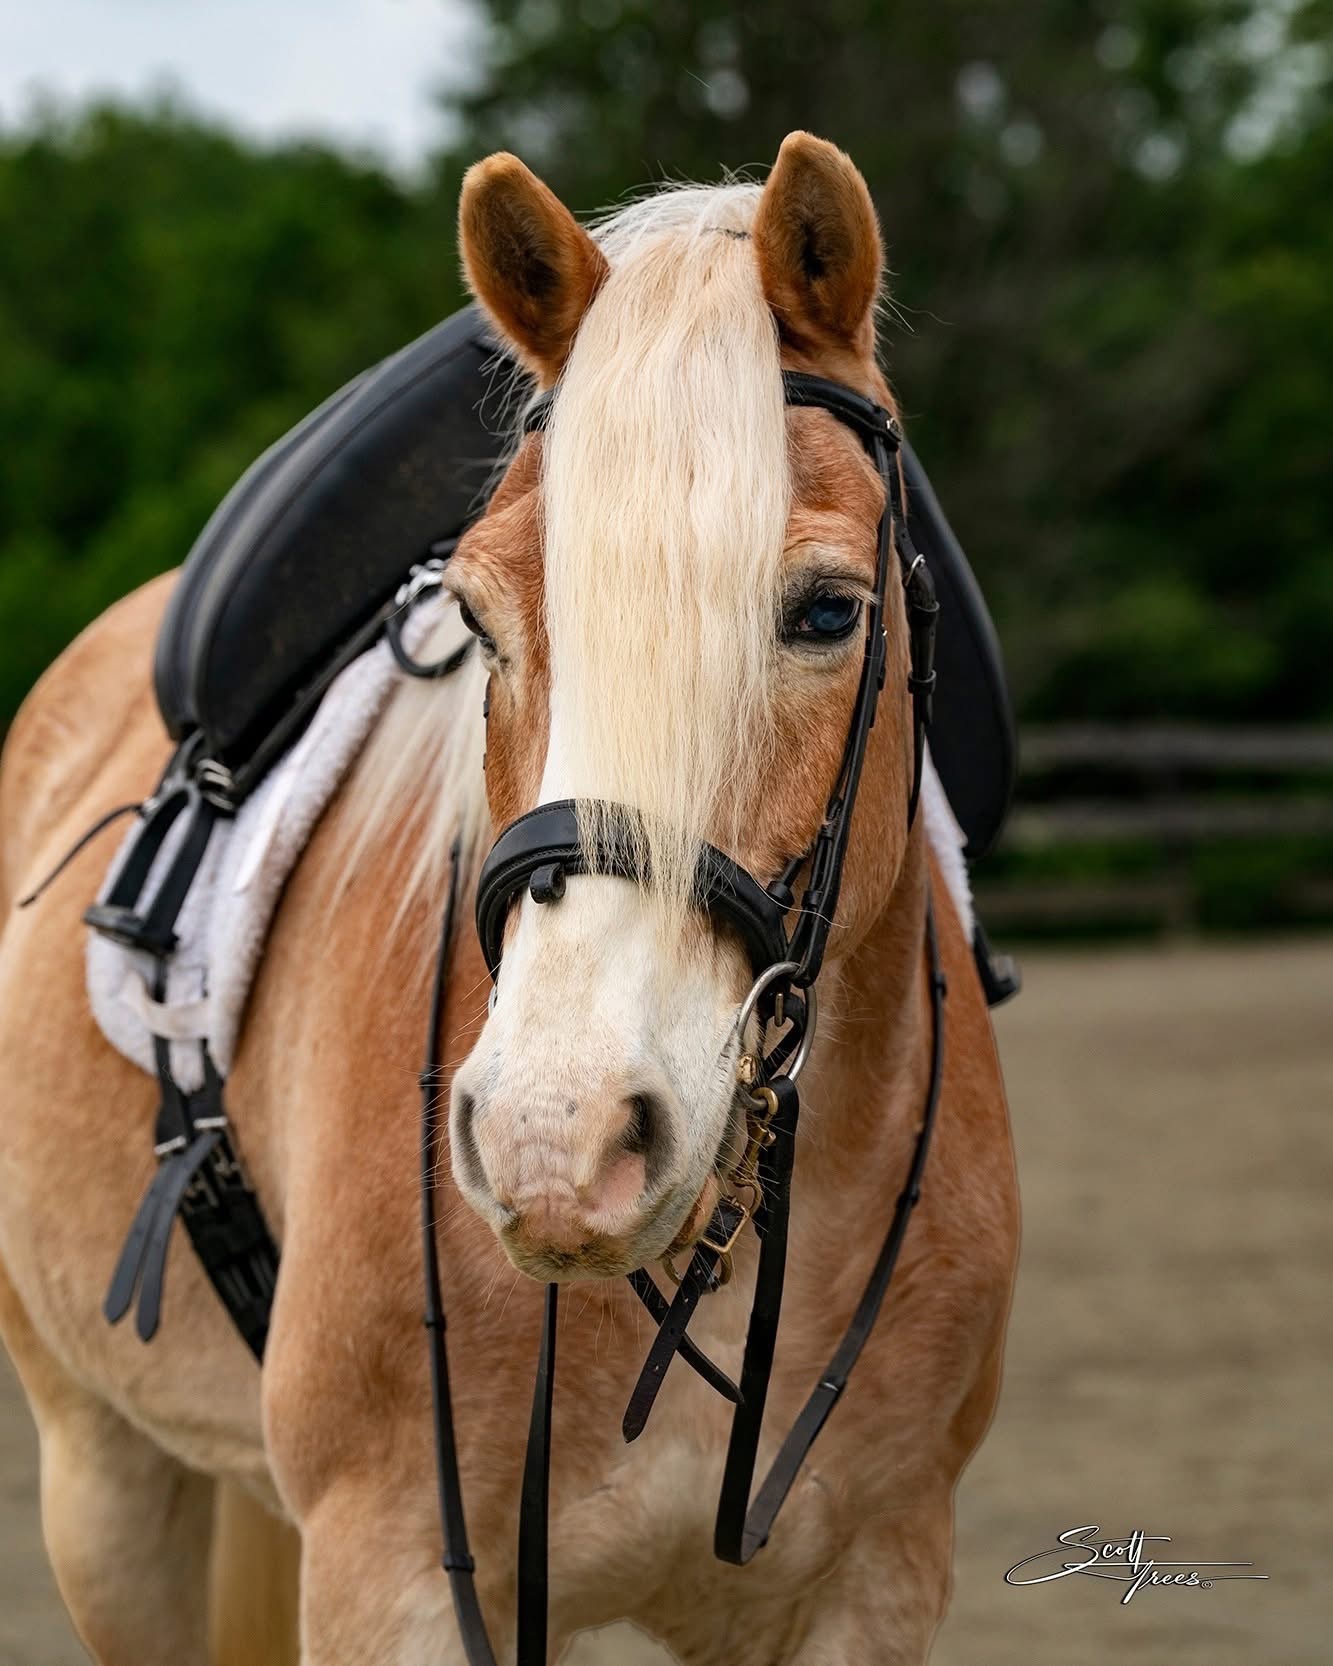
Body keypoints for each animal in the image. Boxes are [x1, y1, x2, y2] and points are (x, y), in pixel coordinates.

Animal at [0, 132, 1019, 1665]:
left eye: (829, 613)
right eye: (479, 619)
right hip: (107, 1481)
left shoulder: (875, 1577)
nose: (559, 1139)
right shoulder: (390, 1575)